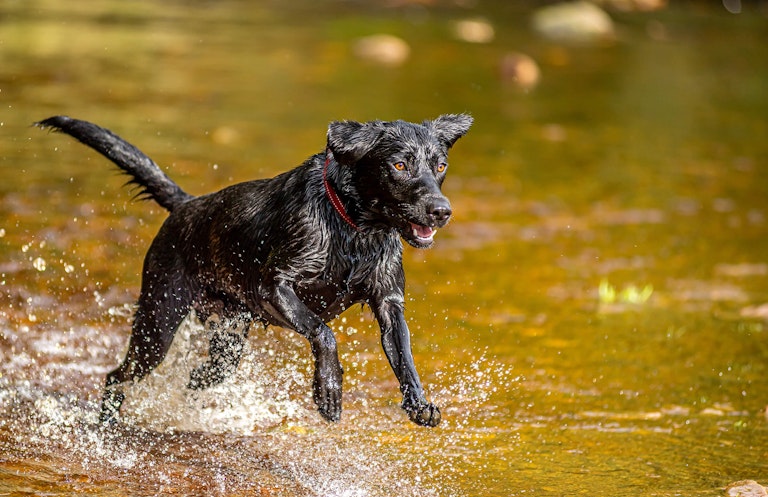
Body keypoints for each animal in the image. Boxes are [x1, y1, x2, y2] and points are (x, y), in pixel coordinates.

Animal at [37, 113, 474, 426]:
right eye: (399, 165)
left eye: (441, 166)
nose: (442, 211)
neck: (354, 229)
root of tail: (185, 205)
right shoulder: (274, 286)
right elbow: (323, 331)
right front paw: (329, 390)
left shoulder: (388, 301)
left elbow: (404, 354)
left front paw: (419, 403)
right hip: (157, 325)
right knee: (116, 375)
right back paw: (107, 423)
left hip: (227, 343)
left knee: (199, 376)